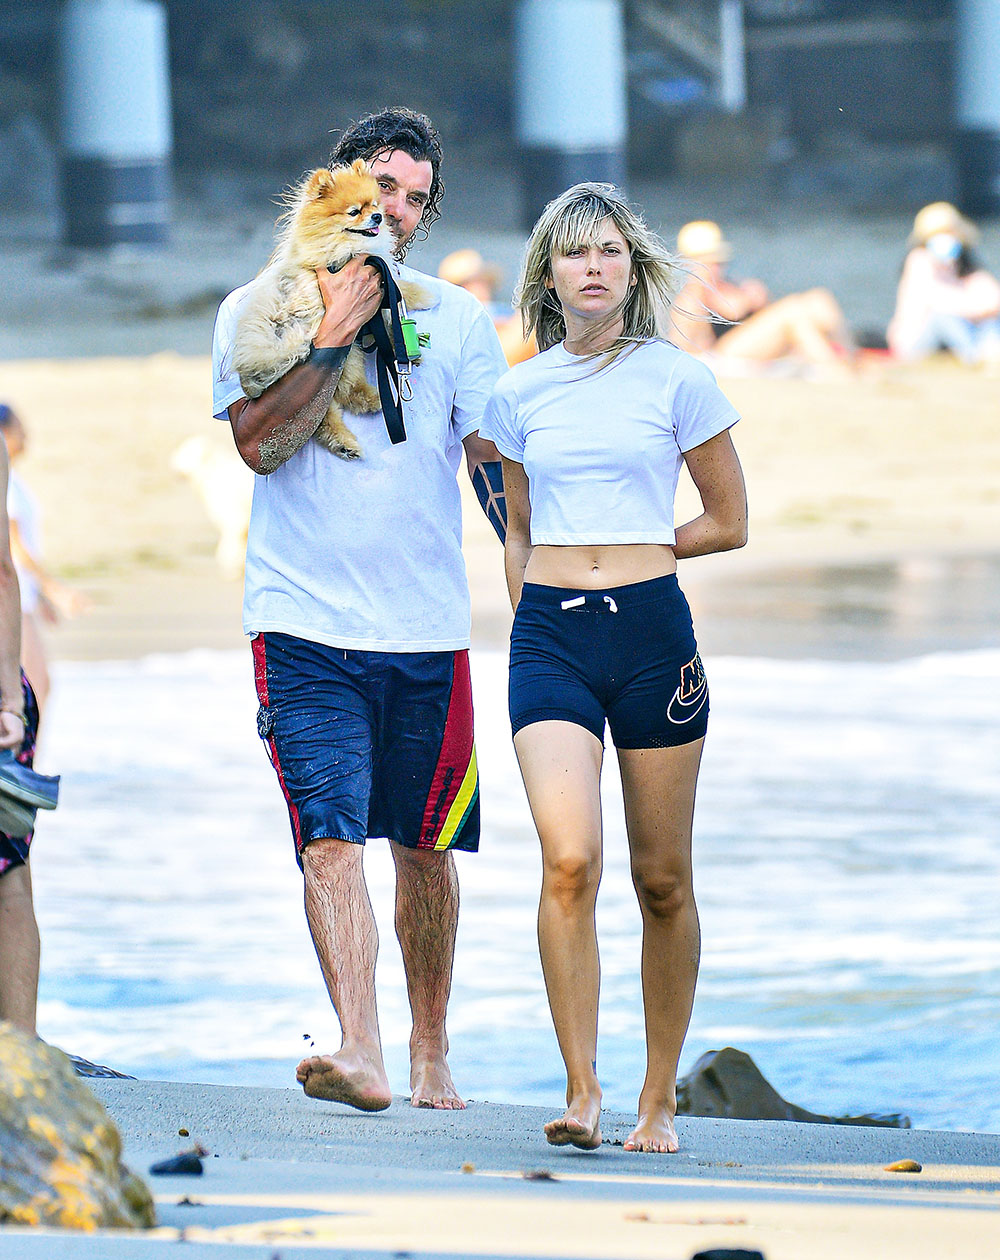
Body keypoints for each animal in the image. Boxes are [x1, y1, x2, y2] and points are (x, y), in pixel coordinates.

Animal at [231, 158, 425, 458]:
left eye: (375, 205)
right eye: (354, 212)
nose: (378, 217)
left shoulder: (376, 276)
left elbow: (392, 304)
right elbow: (400, 290)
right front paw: (426, 295)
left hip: (348, 351)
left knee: (343, 394)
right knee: (324, 412)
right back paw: (348, 437)